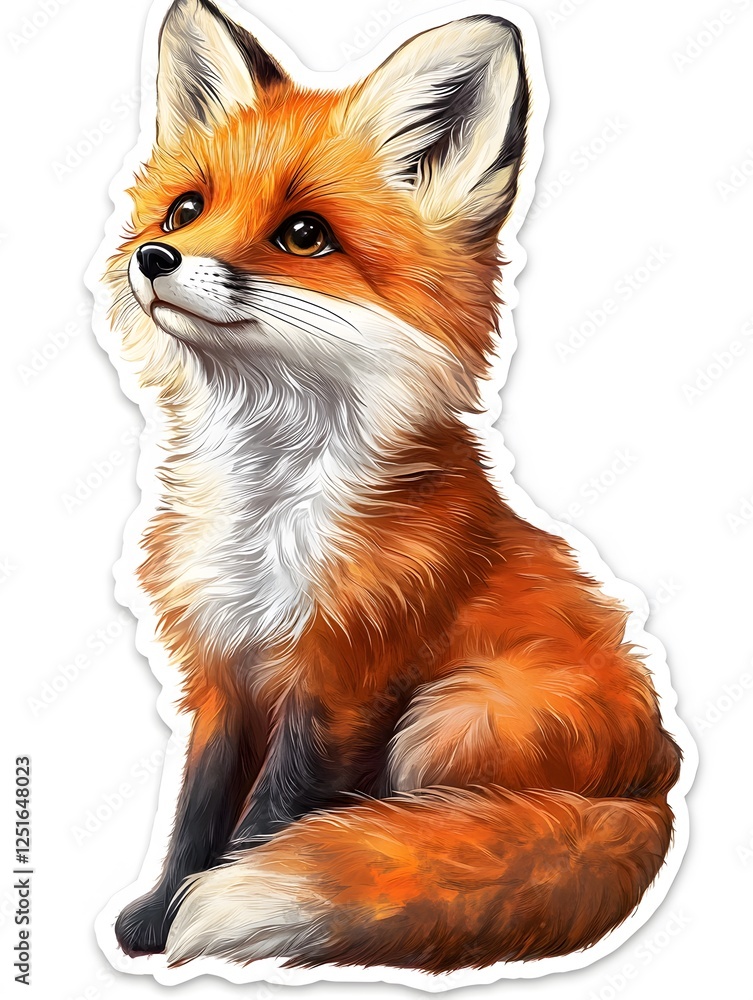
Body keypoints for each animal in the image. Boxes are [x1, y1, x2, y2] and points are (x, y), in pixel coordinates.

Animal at [93, 0, 688, 979]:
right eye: (187, 208)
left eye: (303, 235)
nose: (154, 256)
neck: (270, 512)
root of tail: (653, 792)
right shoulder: (221, 668)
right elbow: (198, 806)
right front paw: (156, 915)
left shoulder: (344, 672)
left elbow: (266, 818)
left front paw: (206, 910)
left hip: (452, 715)